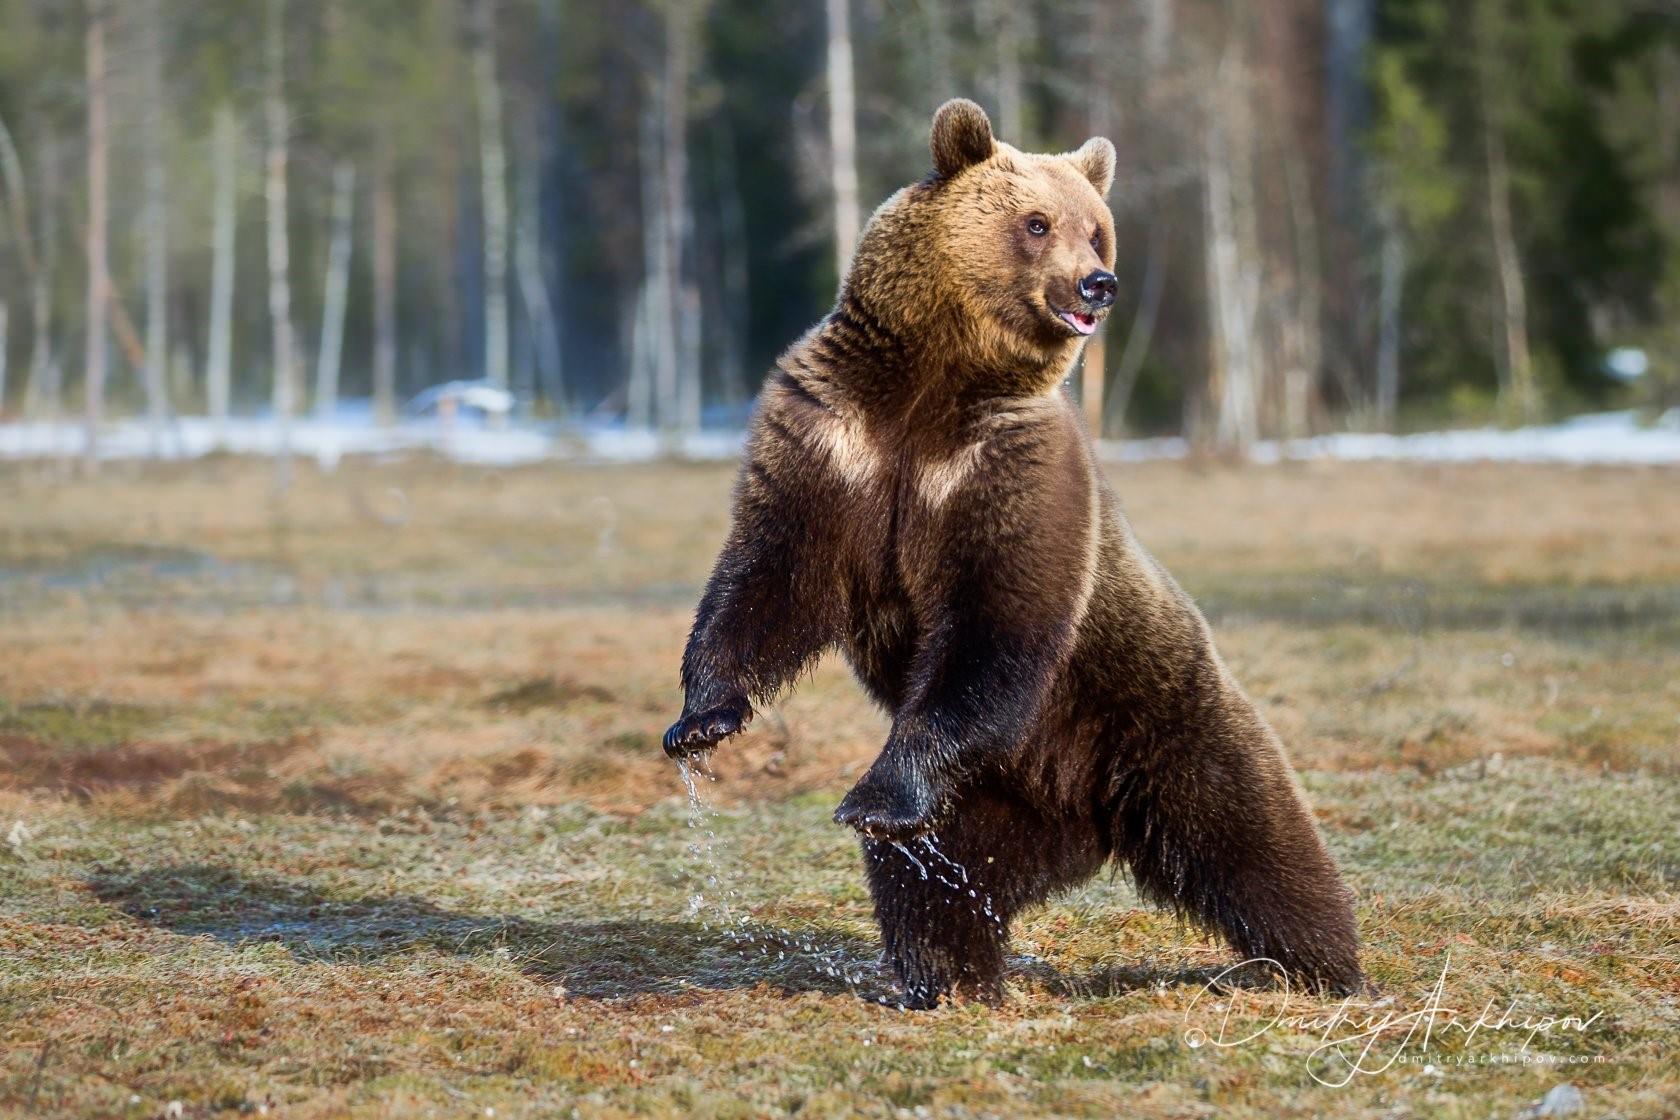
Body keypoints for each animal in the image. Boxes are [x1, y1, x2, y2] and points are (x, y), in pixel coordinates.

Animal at [661, 100, 1357, 1014]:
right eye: (1036, 223)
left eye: (1097, 230)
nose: (1099, 284)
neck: (929, 383)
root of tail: (1089, 816)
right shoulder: (834, 441)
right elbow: (772, 575)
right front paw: (700, 721)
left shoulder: (1010, 469)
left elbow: (997, 618)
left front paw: (873, 797)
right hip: (984, 807)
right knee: (932, 884)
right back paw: (948, 980)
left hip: (1159, 714)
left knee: (1259, 843)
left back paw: (1329, 967)